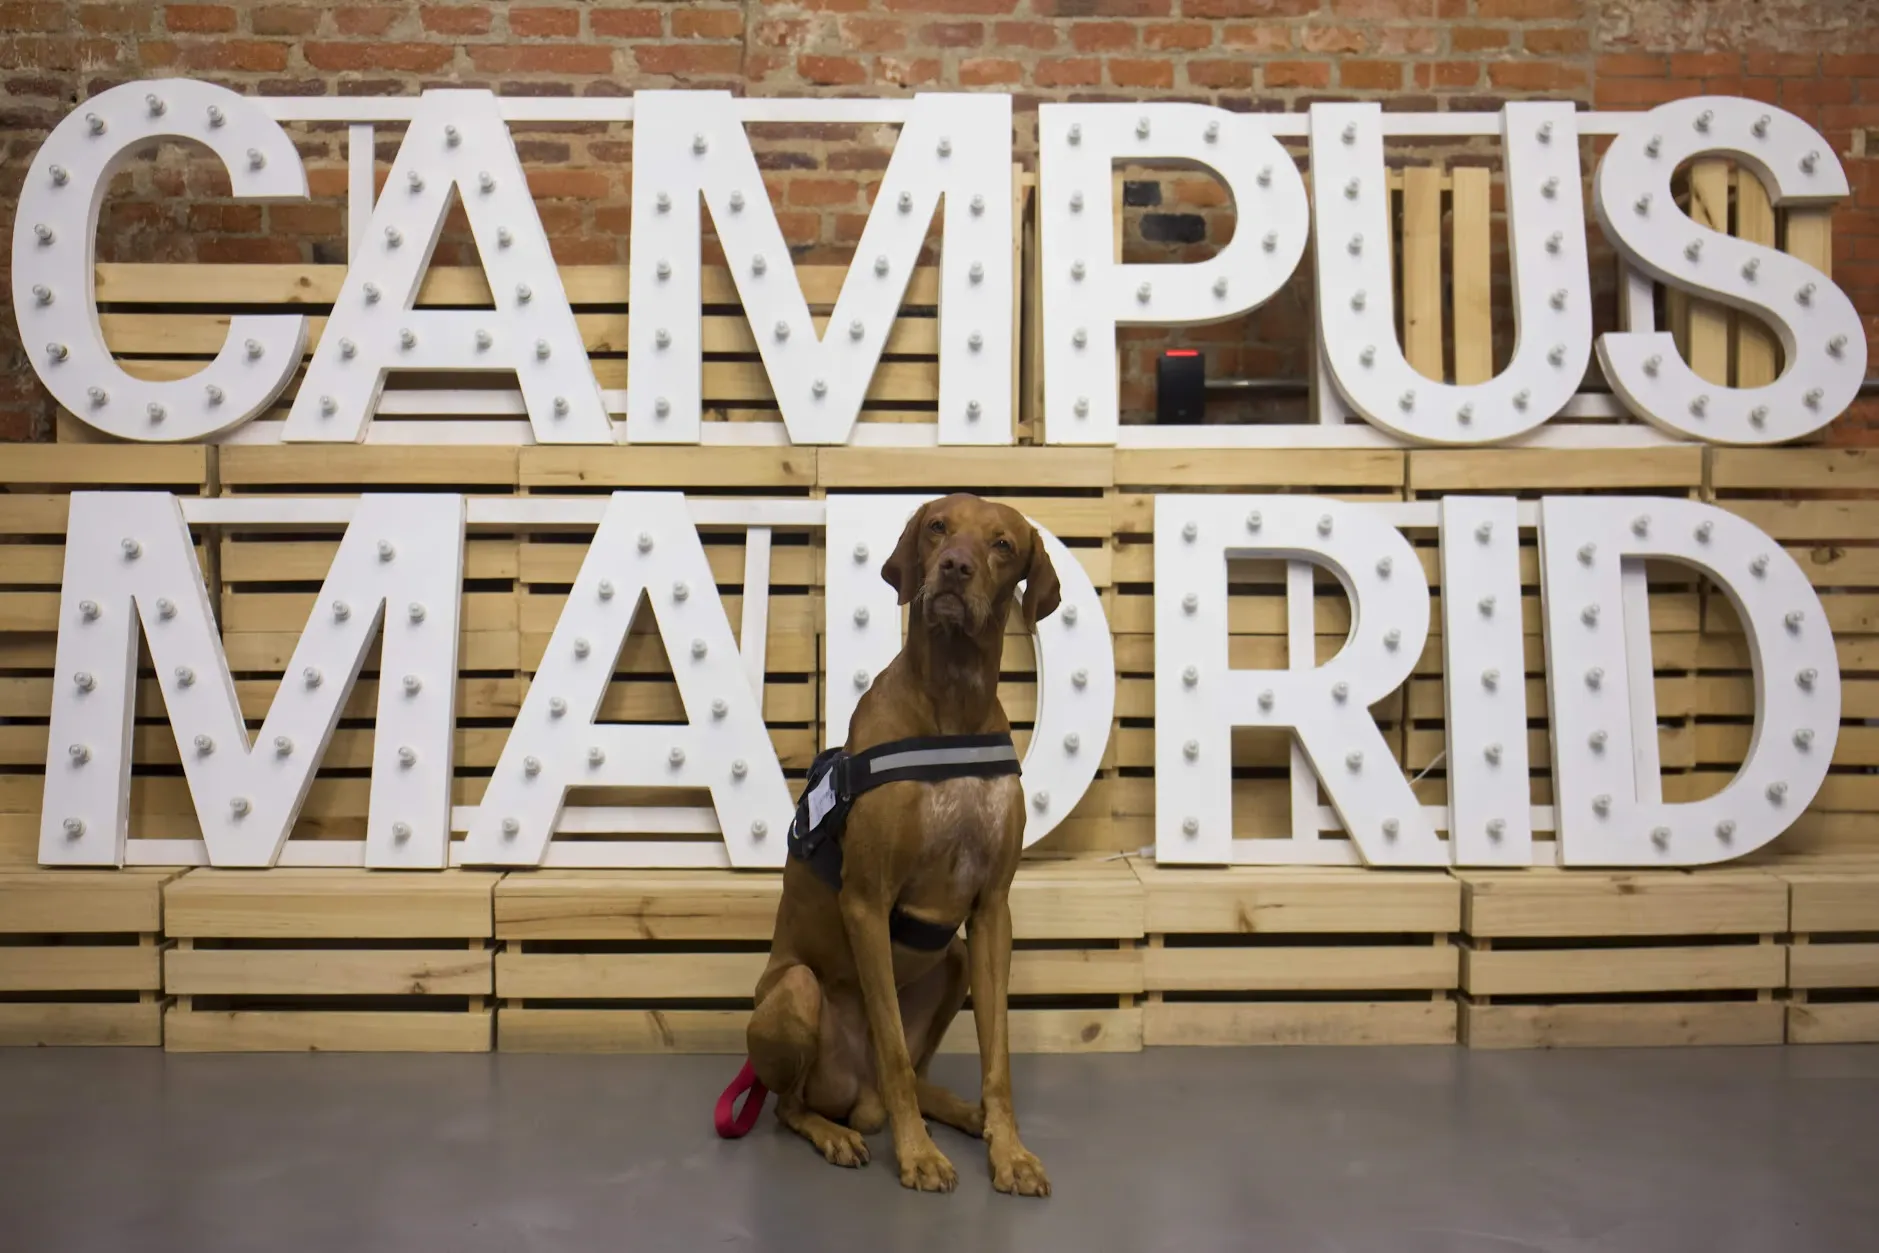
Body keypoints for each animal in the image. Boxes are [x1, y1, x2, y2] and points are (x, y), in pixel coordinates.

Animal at [744, 488, 1059, 1194]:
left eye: (1003, 544)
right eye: (938, 526)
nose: (954, 568)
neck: (953, 701)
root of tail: (857, 1099)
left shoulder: (992, 910)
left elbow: (997, 1059)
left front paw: (1011, 1150)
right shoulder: (866, 901)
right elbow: (889, 1046)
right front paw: (918, 1156)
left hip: (957, 960)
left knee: (915, 1074)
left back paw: (965, 1114)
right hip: (795, 991)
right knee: (793, 1103)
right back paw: (837, 1132)